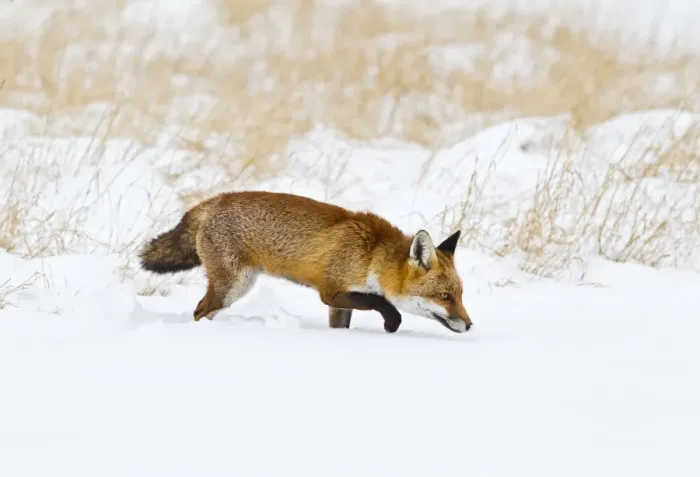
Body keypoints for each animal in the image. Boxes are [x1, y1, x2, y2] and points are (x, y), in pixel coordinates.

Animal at [138, 190, 472, 334]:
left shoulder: (339, 303)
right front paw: (392, 324)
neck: (371, 255)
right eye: (445, 296)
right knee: (199, 311)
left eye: (460, 295)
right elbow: (383, 303)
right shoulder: (332, 291)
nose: (469, 325)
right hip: (232, 287)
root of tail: (214, 200)